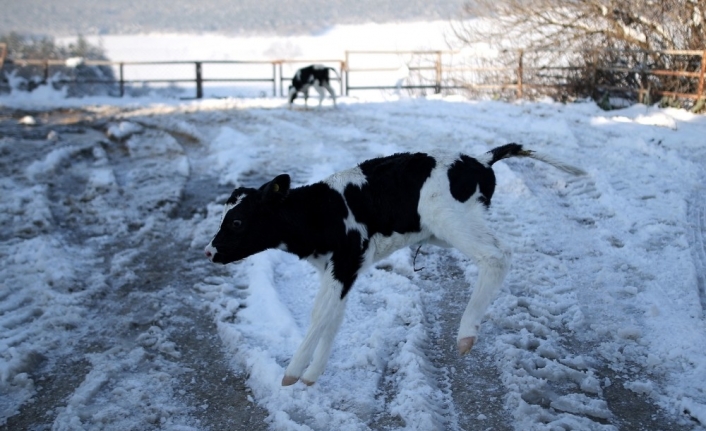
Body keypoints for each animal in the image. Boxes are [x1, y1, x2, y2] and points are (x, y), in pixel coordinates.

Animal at [204, 143, 584, 386]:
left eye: (237, 221)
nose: (209, 251)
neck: (319, 211)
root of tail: (478, 159)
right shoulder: (342, 269)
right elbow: (331, 317)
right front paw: (312, 376)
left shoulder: (345, 261)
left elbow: (319, 315)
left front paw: (292, 373)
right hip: (443, 230)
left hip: (452, 220)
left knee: (497, 255)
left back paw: (466, 333)